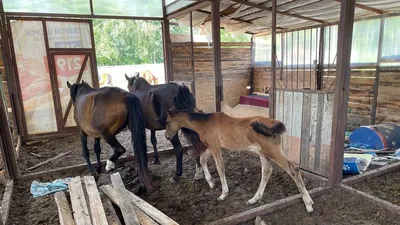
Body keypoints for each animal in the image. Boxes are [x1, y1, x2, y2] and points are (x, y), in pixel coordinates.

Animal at [164, 110, 314, 213]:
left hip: (272, 151)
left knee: (293, 169)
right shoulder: (213, 147)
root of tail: (275, 123)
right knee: (267, 171)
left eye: (167, 122)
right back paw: (255, 199)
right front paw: (211, 182)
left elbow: (220, 168)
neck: (205, 123)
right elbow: (202, 159)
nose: (166, 137)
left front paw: (223, 194)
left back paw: (308, 204)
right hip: (263, 152)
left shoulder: (215, 147)